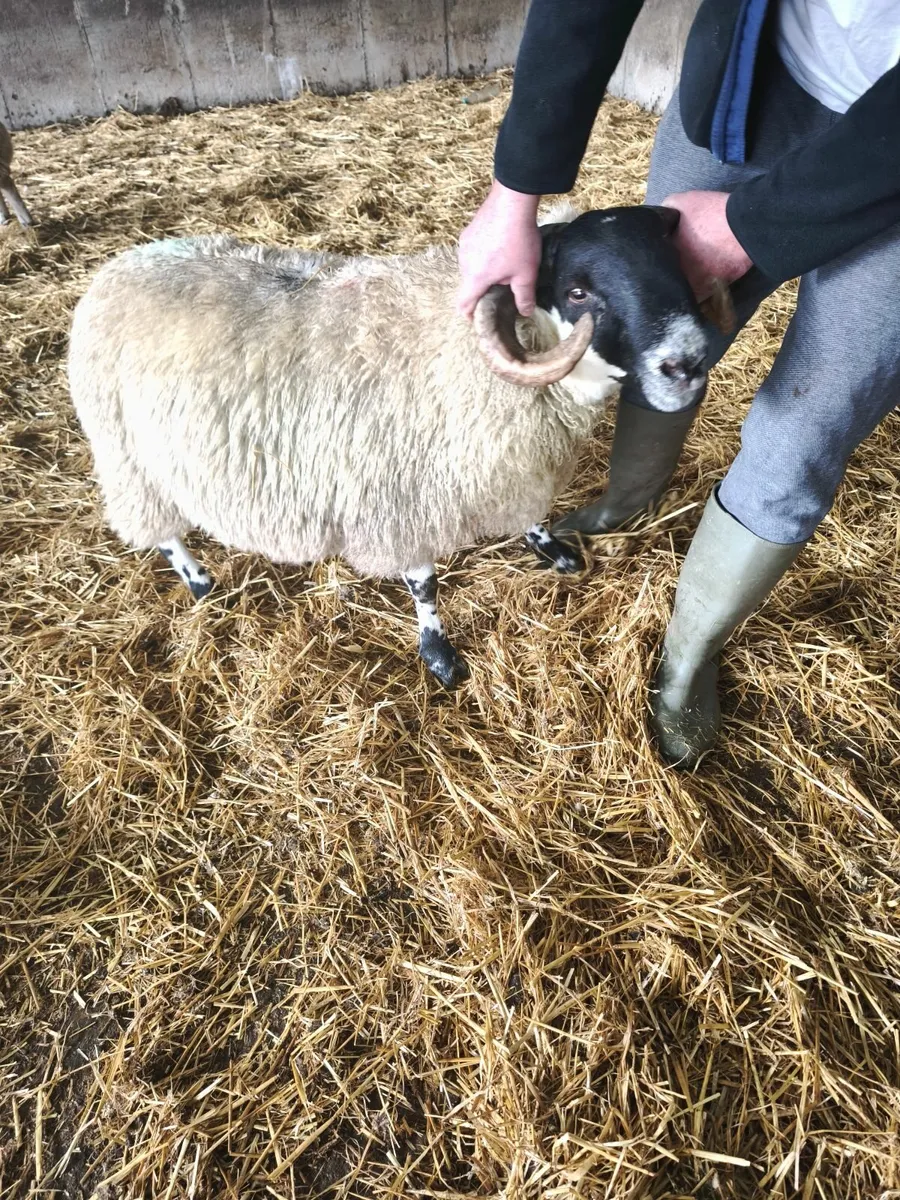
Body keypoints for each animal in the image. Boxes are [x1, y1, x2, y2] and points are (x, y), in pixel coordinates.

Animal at [67, 203, 712, 687]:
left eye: (677, 269)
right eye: (578, 292)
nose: (687, 364)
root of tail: (122, 263)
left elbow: (532, 515)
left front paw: (552, 550)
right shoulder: (401, 497)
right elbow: (425, 585)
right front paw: (440, 656)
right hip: (126, 453)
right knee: (161, 529)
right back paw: (199, 581)